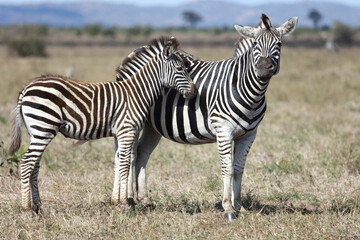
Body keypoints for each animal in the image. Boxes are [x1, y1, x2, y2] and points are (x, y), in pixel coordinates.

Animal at [7, 36, 197, 213]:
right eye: (180, 69)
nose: (194, 92)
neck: (137, 92)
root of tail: (26, 88)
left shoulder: (119, 133)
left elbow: (118, 163)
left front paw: (117, 202)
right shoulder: (127, 130)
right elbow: (125, 164)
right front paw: (124, 203)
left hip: (37, 131)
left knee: (35, 164)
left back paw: (38, 207)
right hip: (44, 127)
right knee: (26, 163)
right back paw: (27, 208)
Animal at [116, 13, 296, 219]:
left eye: (279, 44)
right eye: (256, 44)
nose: (264, 68)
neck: (248, 91)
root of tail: (141, 49)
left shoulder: (249, 135)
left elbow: (238, 169)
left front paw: (239, 205)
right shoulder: (224, 131)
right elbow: (227, 168)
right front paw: (228, 208)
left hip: (153, 125)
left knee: (142, 153)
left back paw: (145, 200)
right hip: (133, 119)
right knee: (129, 155)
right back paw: (129, 199)